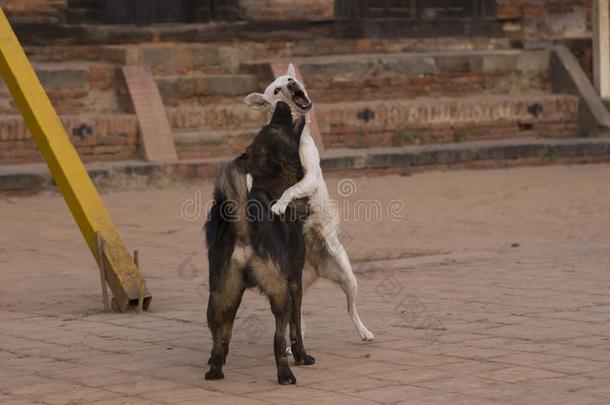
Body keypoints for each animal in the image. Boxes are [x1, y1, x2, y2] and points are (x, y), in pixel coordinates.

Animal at [207, 102, 316, 386]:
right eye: (274, 127)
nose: (281, 104)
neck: (270, 181)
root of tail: (243, 226)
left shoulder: (234, 293)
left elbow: (227, 331)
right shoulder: (294, 281)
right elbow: (296, 328)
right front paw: (302, 356)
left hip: (220, 295)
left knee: (216, 333)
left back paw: (215, 369)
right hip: (280, 295)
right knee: (278, 339)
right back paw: (286, 375)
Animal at [245, 63, 372, 340]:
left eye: (289, 79)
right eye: (277, 90)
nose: (293, 84)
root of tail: (313, 268)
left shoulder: (310, 176)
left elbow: (291, 189)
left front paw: (280, 204)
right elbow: (252, 180)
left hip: (348, 278)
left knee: (351, 309)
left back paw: (364, 332)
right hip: (289, 285)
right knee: (295, 316)